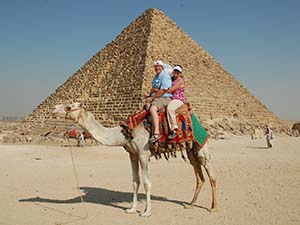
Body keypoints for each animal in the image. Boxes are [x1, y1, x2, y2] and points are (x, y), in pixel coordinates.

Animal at [51, 102, 216, 216]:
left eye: (68, 106)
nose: (53, 109)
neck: (125, 133)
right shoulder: (133, 155)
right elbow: (135, 181)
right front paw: (132, 208)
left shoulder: (143, 154)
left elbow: (147, 183)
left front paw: (146, 211)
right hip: (190, 150)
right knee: (200, 177)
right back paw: (190, 205)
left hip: (201, 147)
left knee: (211, 176)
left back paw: (213, 207)